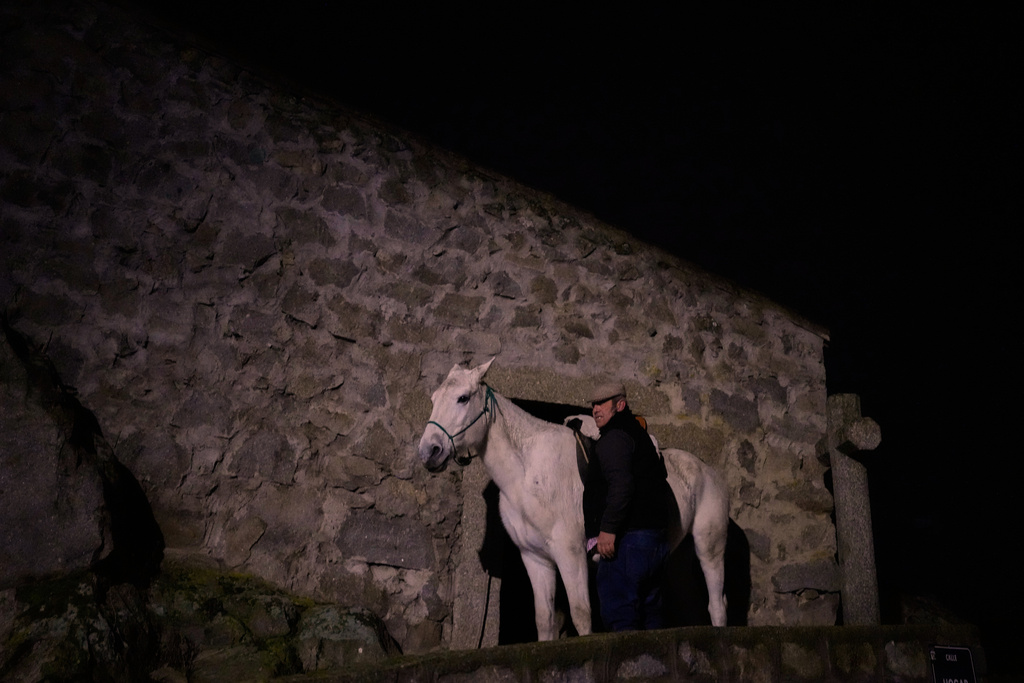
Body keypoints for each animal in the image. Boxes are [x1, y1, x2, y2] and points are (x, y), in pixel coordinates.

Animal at [417, 359, 728, 640]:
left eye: (463, 398)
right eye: (433, 399)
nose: (429, 451)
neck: (527, 474)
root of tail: (707, 471)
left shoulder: (571, 555)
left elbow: (581, 616)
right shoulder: (535, 559)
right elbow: (544, 620)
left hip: (709, 549)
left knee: (717, 604)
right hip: (676, 559)